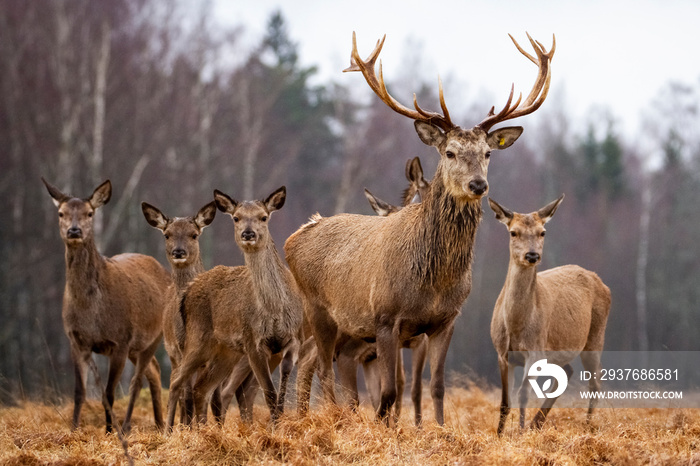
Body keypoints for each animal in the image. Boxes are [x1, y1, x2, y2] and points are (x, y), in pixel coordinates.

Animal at [42, 178, 171, 434]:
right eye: (61, 213)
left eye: (90, 213)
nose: (74, 231)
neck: (91, 312)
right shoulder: (76, 340)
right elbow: (79, 392)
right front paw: (73, 429)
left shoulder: (119, 340)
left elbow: (109, 394)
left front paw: (110, 431)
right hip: (136, 346)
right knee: (153, 371)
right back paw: (158, 424)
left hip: (153, 336)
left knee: (141, 378)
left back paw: (138, 425)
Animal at [167, 187, 304, 430]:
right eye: (236, 217)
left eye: (263, 217)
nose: (248, 234)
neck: (276, 311)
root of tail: (187, 292)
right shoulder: (252, 343)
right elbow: (269, 393)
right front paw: (274, 430)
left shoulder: (291, 340)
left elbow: (280, 390)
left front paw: (278, 424)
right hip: (196, 340)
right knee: (176, 382)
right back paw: (169, 432)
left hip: (225, 351)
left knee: (202, 388)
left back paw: (207, 432)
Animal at [284, 29, 552, 424]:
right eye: (449, 152)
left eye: (488, 153)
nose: (478, 185)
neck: (433, 280)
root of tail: (295, 236)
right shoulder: (384, 318)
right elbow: (389, 392)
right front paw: (384, 429)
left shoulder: (445, 322)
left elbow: (435, 387)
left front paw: (438, 429)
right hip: (317, 311)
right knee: (317, 368)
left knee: (313, 365)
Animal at [486, 196, 612, 434]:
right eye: (513, 232)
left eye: (542, 232)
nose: (532, 255)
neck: (515, 326)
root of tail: (602, 282)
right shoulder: (501, 352)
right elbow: (505, 401)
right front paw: (499, 434)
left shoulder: (535, 348)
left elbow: (523, 394)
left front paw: (520, 433)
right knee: (567, 371)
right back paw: (538, 422)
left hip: (595, 336)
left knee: (595, 380)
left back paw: (587, 426)